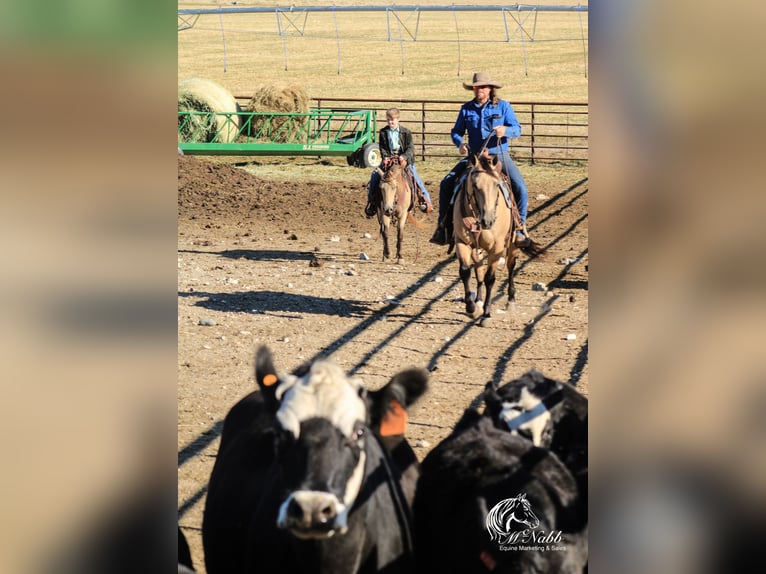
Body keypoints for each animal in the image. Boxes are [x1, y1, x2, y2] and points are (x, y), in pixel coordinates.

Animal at [452, 154, 548, 328]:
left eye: (497, 185)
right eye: (474, 185)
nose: (488, 220)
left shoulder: (496, 249)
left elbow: (490, 278)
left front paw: (486, 314)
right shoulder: (462, 242)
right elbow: (465, 272)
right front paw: (471, 307)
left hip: (513, 245)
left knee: (510, 267)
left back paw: (510, 300)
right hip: (477, 249)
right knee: (478, 270)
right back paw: (478, 301)